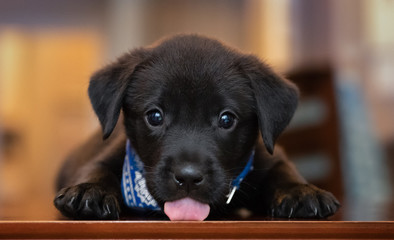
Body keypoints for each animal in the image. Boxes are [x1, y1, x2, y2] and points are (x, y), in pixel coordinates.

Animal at [53, 34, 340, 220]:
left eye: (226, 119)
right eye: (154, 116)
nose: (188, 177)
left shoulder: (268, 156)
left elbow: (283, 170)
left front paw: (301, 192)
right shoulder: (112, 153)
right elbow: (96, 168)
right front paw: (89, 190)